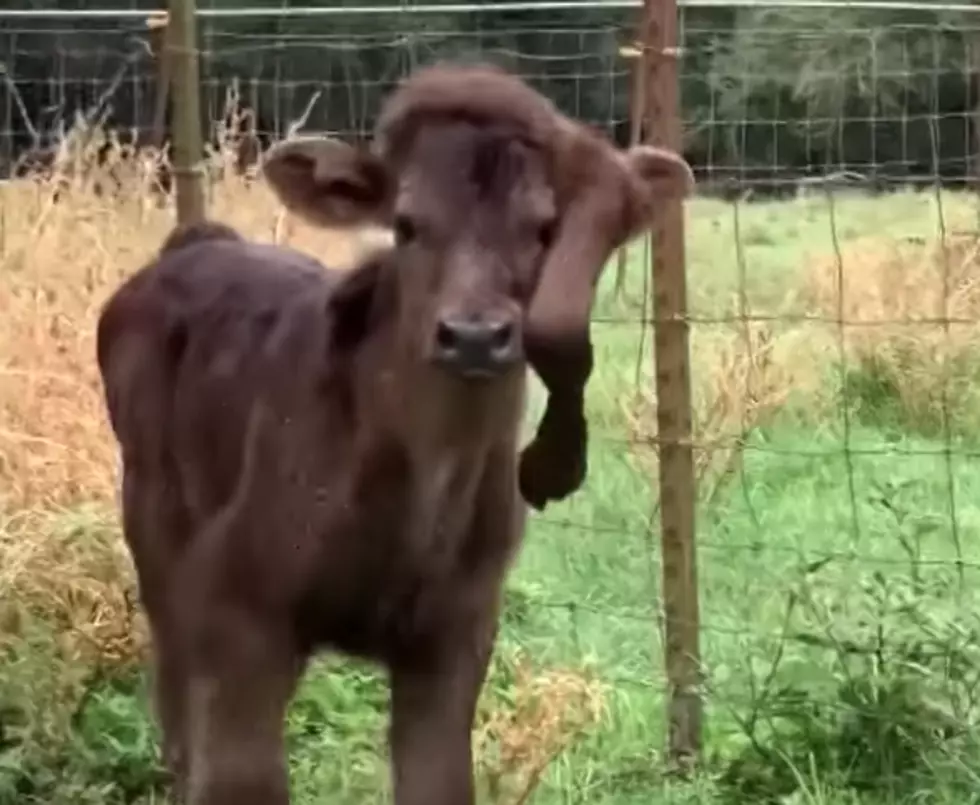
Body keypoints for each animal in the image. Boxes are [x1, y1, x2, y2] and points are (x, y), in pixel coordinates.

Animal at [94, 62, 688, 804]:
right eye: (405, 224)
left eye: (544, 227)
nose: (475, 335)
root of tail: (199, 240)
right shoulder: (240, 604)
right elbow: (236, 774)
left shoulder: (456, 631)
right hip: (154, 532)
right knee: (176, 717)